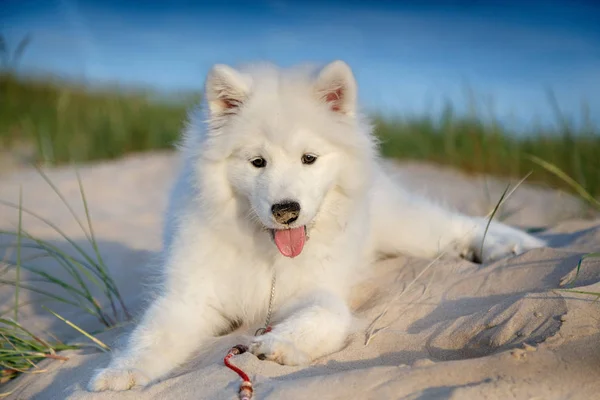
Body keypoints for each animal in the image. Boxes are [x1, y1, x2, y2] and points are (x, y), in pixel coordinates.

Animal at [90, 60, 548, 390]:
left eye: (308, 158)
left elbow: (322, 316)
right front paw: (117, 374)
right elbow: (150, 337)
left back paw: (509, 245)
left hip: (406, 227)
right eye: (258, 162)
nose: (286, 210)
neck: (268, 255)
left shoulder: (319, 291)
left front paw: (277, 344)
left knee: (457, 224)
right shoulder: (190, 298)